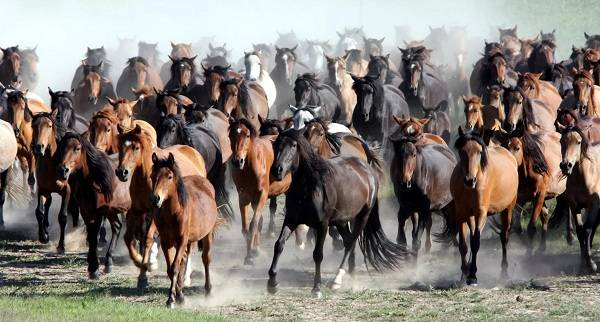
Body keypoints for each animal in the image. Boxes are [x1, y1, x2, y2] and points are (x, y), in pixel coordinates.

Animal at [116, 124, 207, 288]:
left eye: (135, 147)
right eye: (120, 146)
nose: (122, 172)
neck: (145, 177)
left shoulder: (154, 212)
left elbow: (147, 239)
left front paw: (144, 273)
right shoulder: (136, 210)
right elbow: (128, 238)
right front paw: (138, 261)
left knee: (189, 246)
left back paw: (185, 277)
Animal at [149, 153, 219, 306]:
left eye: (169, 176)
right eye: (152, 176)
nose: (155, 198)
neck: (173, 213)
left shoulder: (181, 240)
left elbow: (175, 266)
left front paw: (171, 299)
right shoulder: (166, 242)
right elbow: (171, 269)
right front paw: (178, 296)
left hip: (207, 234)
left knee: (206, 259)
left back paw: (208, 290)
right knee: (185, 259)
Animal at [229, 118, 292, 264]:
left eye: (247, 135)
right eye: (230, 136)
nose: (237, 161)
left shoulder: (262, 195)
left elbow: (253, 225)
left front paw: (250, 257)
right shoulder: (244, 197)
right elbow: (246, 228)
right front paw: (253, 252)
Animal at [268, 128, 412, 296]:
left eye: (293, 145)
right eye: (276, 144)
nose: (277, 170)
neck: (310, 187)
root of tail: (368, 169)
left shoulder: (322, 224)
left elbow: (318, 254)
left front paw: (317, 288)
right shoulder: (292, 219)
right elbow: (279, 245)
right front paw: (272, 283)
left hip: (362, 217)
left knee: (351, 243)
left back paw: (337, 280)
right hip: (341, 220)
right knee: (348, 241)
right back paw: (351, 275)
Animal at [440, 127, 520, 284]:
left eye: (479, 151)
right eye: (462, 151)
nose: (470, 180)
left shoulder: (481, 213)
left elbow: (476, 243)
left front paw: (472, 276)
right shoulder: (461, 214)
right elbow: (463, 245)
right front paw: (465, 272)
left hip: (508, 209)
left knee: (504, 237)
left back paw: (504, 272)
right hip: (471, 216)